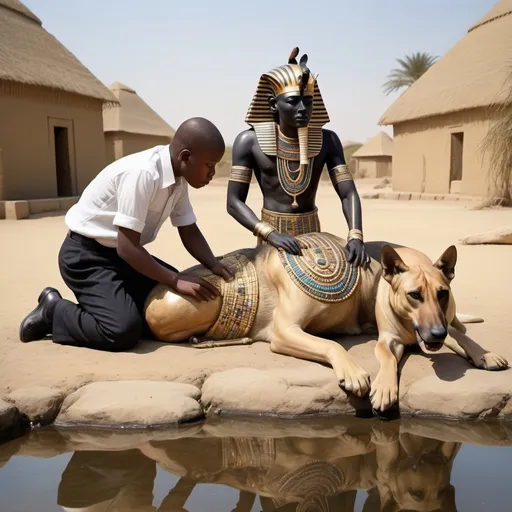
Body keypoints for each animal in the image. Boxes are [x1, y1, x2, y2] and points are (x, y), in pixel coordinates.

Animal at [144, 232, 508, 412]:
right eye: (413, 295)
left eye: (442, 293)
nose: (433, 332)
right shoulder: (285, 332)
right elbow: (334, 345)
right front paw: (358, 375)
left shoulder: (440, 321)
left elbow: (459, 335)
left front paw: (484, 354)